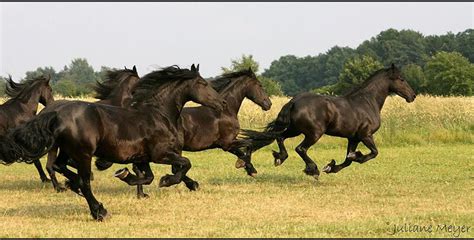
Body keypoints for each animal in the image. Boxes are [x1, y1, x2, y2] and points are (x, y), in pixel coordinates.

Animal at [0, 64, 226, 220]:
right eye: (203, 83)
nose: (222, 102)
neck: (158, 114)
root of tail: (55, 113)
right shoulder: (160, 154)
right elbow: (184, 164)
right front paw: (167, 181)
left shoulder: (142, 157)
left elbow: (147, 177)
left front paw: (126, 176)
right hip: (83, 154)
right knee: (84, 182)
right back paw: (99, 211)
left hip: (67, 150)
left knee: (58, 166)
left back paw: (72, 185)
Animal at [95, 68, 272, 198]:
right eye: (260, 85)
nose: (268, 104)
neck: (225, 112)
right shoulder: (227, 143)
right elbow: (248, 146)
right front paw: (245, 166)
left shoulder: (225, 145)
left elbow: (241, 151)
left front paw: (249, 169)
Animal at [241, 64, 414, 179]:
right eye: (401, 79)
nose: (412, 96)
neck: (367, 102)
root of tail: (294, 101)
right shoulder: (366, 135)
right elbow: (373, 153)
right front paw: (355, 157)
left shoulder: (353, 138)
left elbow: (348, 160)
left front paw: (331, 167)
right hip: (314, 133)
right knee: (300, 148)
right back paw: (313, 170)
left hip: (294, 130)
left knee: (280, 137)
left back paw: (279, 158)